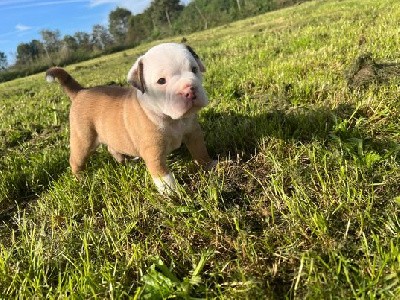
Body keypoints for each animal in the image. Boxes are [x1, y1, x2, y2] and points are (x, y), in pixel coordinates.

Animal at [46, 42, 214, 193]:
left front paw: (209, 166)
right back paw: (81, 180)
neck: (172, 119)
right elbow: (164, 178)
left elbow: (200, 151)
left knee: (112, 148)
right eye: (161, 81)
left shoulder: (193, 133)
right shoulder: (153, 153)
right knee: (76, 161)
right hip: (83, 140)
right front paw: (173, 196)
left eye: (194, 69)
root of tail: (80, 91)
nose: (189, 90)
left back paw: (126, 162)